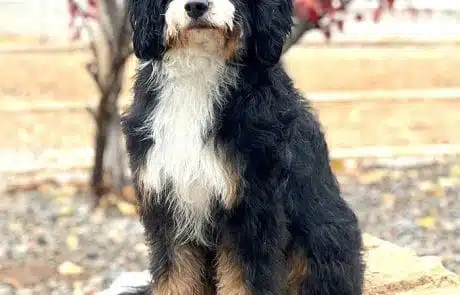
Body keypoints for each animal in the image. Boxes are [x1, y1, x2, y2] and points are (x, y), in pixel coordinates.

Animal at [120, 0, 364, 294]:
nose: (196, 6)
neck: (200, 70)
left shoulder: (252, 207)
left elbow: (245, 277)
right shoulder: (165, 203)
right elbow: (174, 274)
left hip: (322, 240)